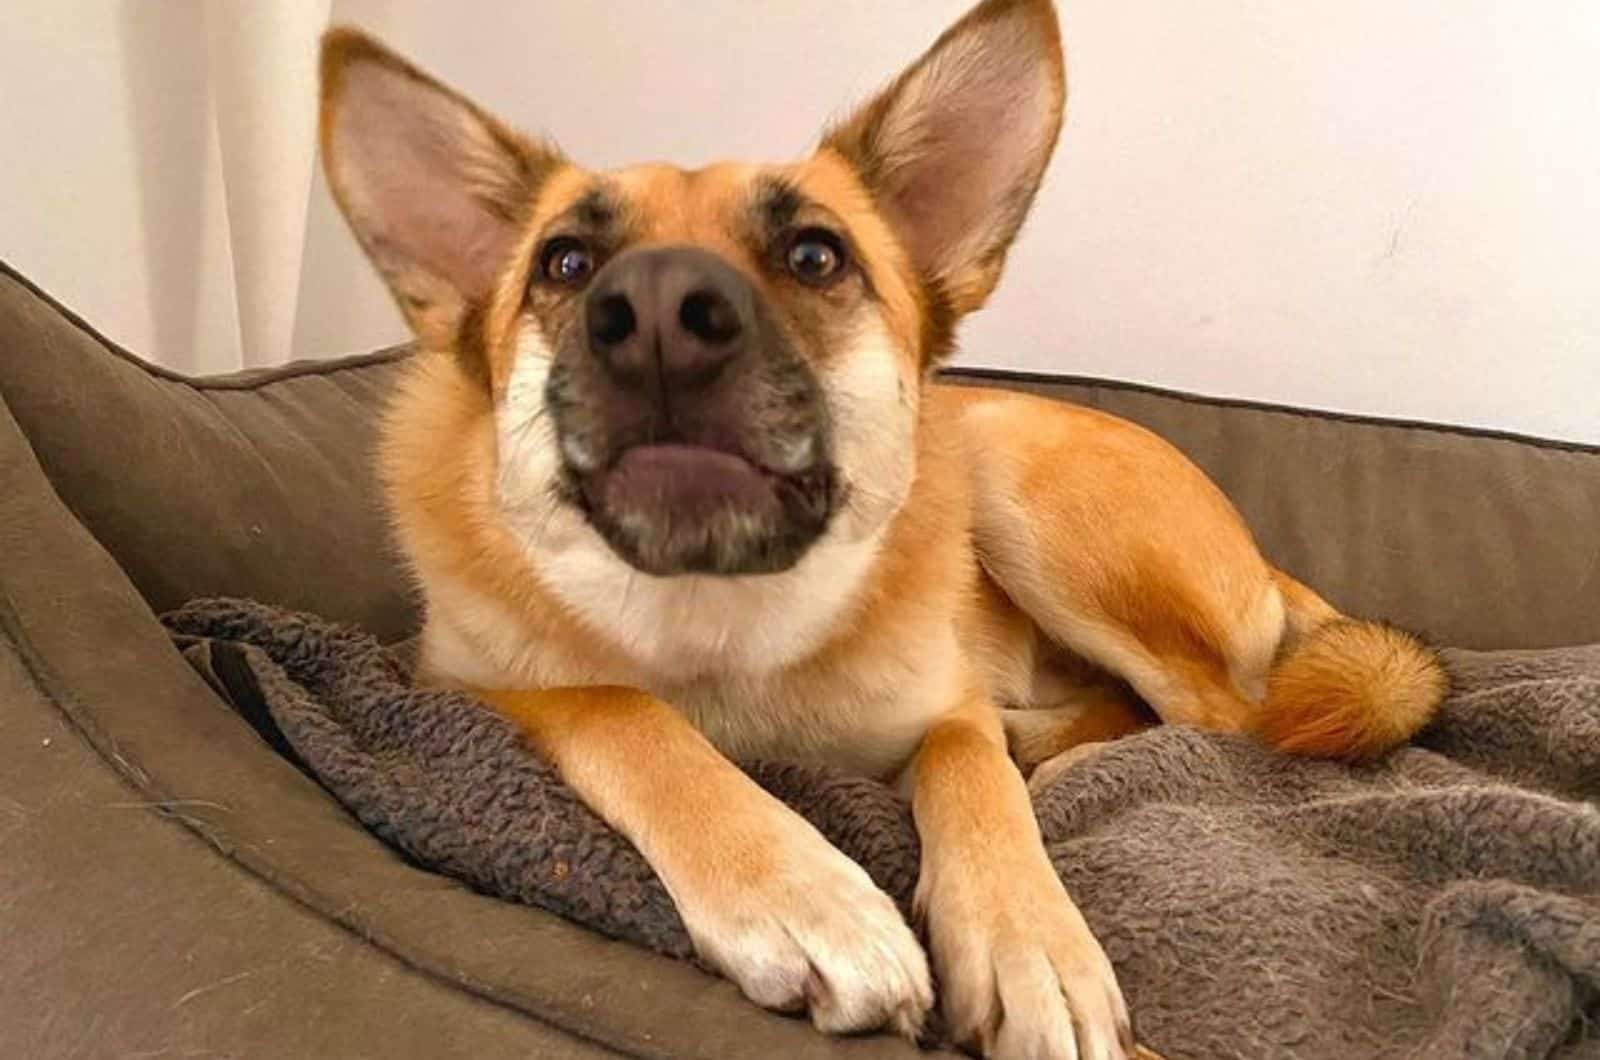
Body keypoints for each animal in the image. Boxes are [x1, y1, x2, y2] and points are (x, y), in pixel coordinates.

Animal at [318, 4, 1446, 1056]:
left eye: (815, 254)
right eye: (563, 262)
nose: (656, 316)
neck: (721, 614)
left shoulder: (943, 712)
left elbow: (970, 774)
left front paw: (1038, 945)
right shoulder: (450, 680)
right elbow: (620, 710)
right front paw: (801, 894)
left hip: (1011, 482)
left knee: (1217, 717)